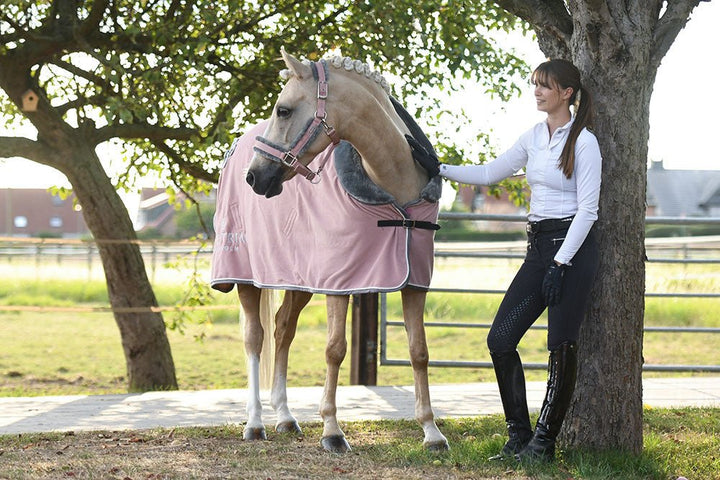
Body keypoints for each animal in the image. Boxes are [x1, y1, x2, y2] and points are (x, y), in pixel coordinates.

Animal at [211, 49, 448, 453]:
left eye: (284, 110)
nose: (255, 177)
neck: (391, 185)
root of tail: (234, 151)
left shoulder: (414, 282)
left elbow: (419, 352)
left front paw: (431, 432)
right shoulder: (340, 284)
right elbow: (335, 349)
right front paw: (333, 431)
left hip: (298, 281)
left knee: (282, 330)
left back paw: (285, 417)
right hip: (246, 278)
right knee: (255, 338)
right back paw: (255, 423)